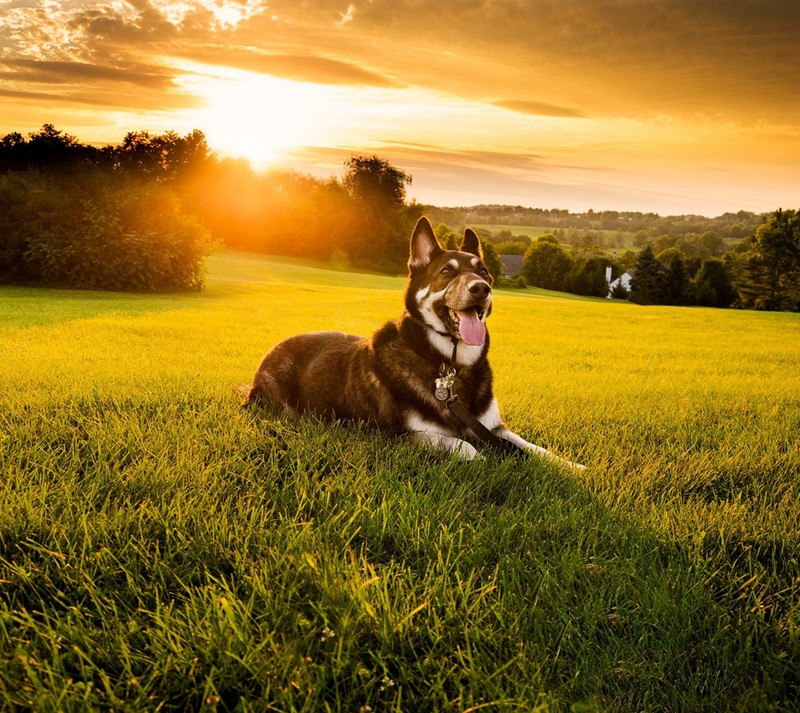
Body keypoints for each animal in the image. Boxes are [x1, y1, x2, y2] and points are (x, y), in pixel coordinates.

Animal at [247, 217, 584, 470]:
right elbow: (462, 444)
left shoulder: (494, 428)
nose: (481, 288)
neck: (450, 366)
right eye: (446, 271)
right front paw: (483, 457)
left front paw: (571, 465)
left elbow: (534, 447)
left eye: (484, 272)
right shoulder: (393, 434)